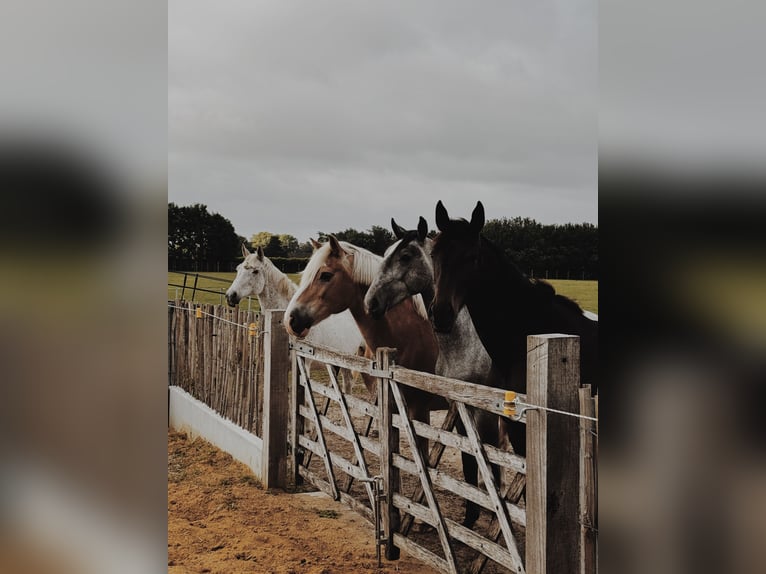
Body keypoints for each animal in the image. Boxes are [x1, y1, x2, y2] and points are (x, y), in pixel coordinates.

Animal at [364, 216, 509, 527]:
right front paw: (470, 517)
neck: (466, 341)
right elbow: (469, 463)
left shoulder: (485, 416)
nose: (371, 303)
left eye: (406, 256)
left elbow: (488, 464)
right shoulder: (460, 410)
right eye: (386, 253)